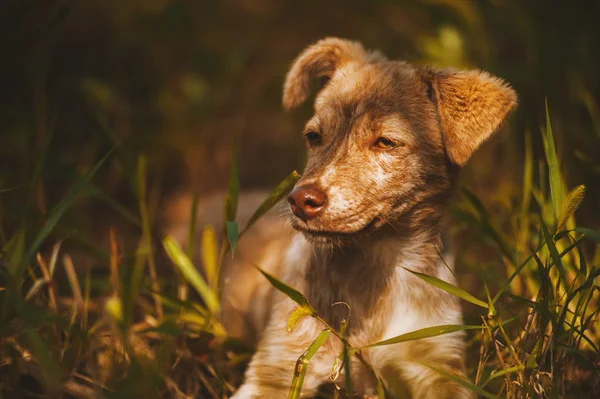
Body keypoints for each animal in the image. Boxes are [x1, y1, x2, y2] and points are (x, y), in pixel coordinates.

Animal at [230, 38, 516, 399]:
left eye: (386, 142)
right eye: (313, 137)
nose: (300, 201)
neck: (378, 265)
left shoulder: (438, 361)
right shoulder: (278, 366)